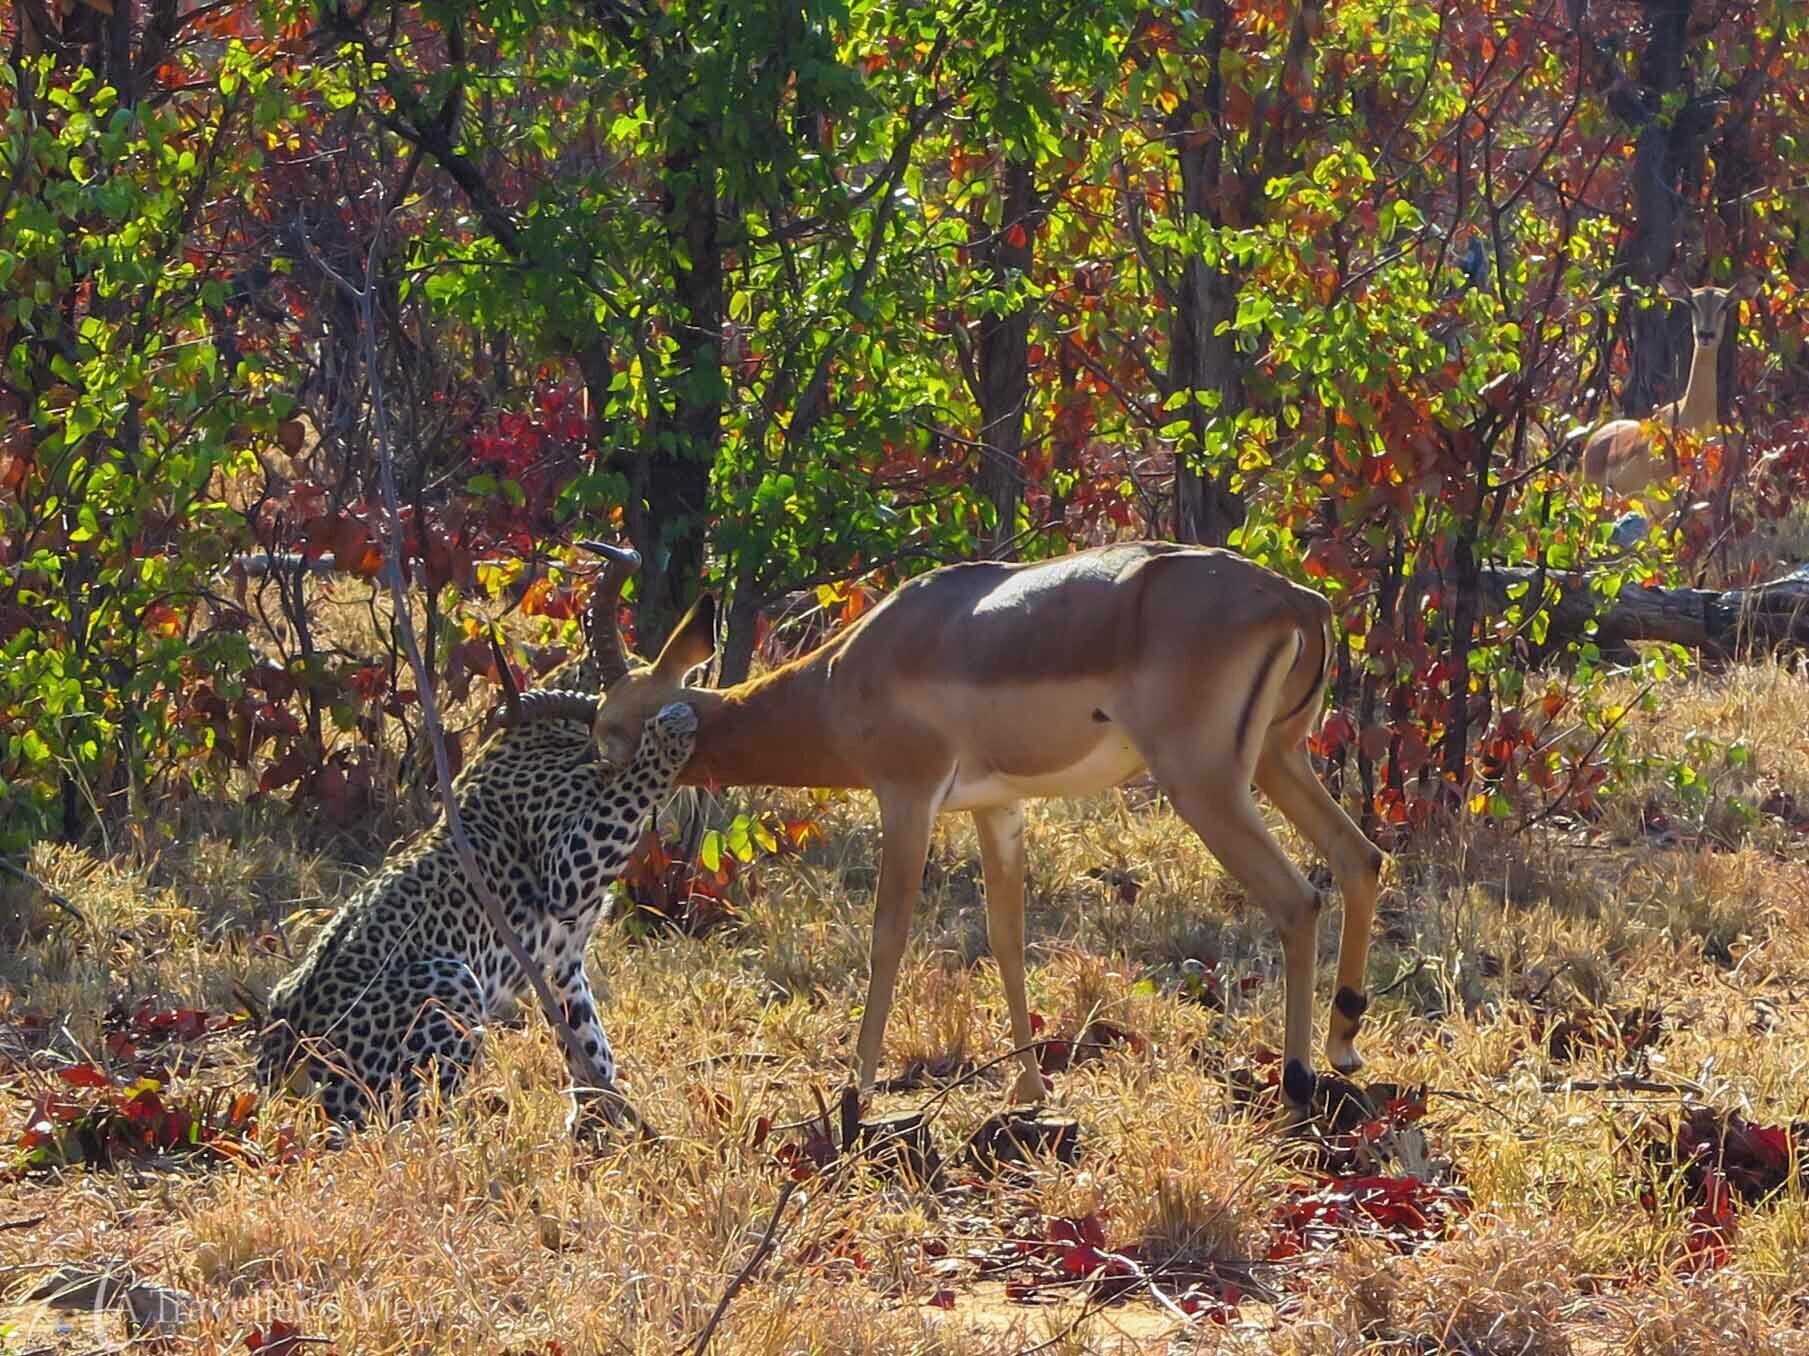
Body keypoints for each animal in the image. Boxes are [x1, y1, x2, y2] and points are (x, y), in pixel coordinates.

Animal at [253, 698, 698, 1139]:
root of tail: (278, 1079)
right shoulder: (567, 872)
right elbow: (630, 789)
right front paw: (672, 729)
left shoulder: (563, 958)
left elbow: (587, 1041)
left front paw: (594, 1121)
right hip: (451, 981)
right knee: (405, 1121)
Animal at [513, 541, 1384, 1110]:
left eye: (609, 733)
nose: (597, 831)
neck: (842, 673)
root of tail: (1298, 602)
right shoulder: (998, 809)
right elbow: (1006, 938)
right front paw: (1029, 1091)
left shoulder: (906, 796)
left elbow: (888, 935)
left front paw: (858, 1088)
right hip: (1277, 759)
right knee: (1360, 858)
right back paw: (1343, 1044)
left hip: (1205, 783)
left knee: (1296, 897)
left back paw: (1297, 1081)